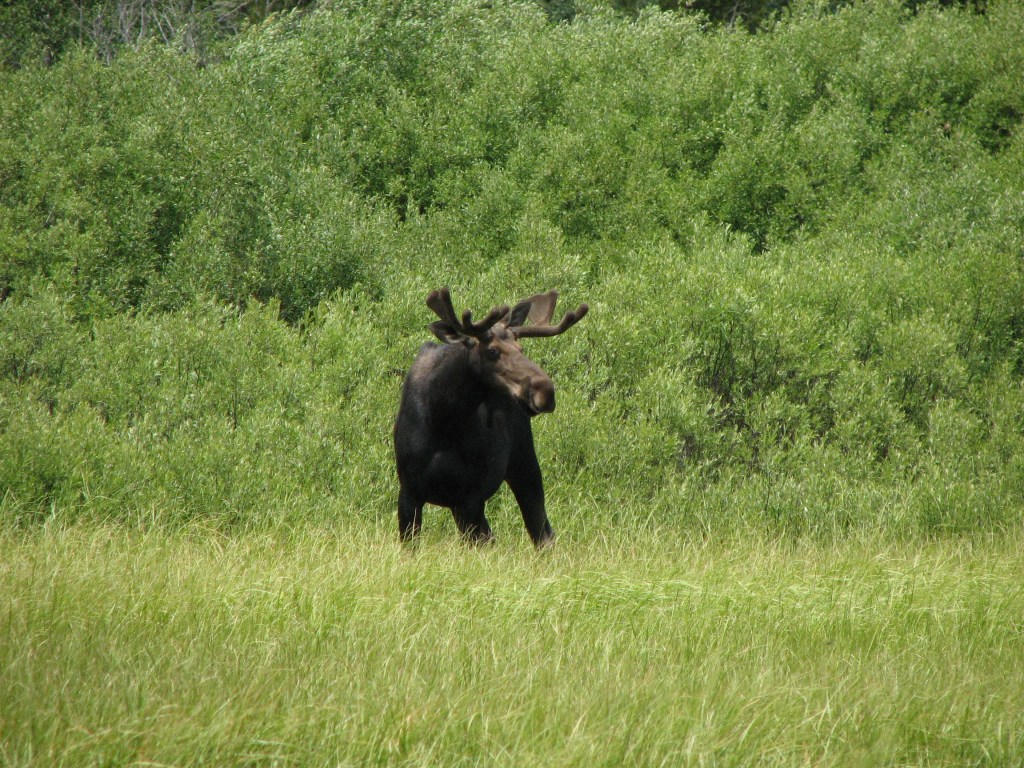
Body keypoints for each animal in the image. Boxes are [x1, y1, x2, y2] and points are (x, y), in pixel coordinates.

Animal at [393, 287, 588, 547]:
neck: (444, 420)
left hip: (524, 462)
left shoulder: (472, 495)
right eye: (492, 350)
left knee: (542, 532)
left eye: (521, 349)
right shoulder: (409, 492)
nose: (545, 391)